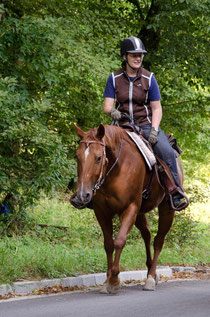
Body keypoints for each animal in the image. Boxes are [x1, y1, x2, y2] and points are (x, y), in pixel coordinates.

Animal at [74, 123, 184, 292]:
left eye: (98, 157)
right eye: (77, 156)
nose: (82, 195)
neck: (116, 168)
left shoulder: (130, 208)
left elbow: (119, 241)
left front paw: (114, 280)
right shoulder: (102, 211)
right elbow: (108, 244)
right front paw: (107, 280)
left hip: (166, 210)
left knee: (158, 241)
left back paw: (151, 277)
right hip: (139, 214)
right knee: (147, 234)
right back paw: (150, 271)